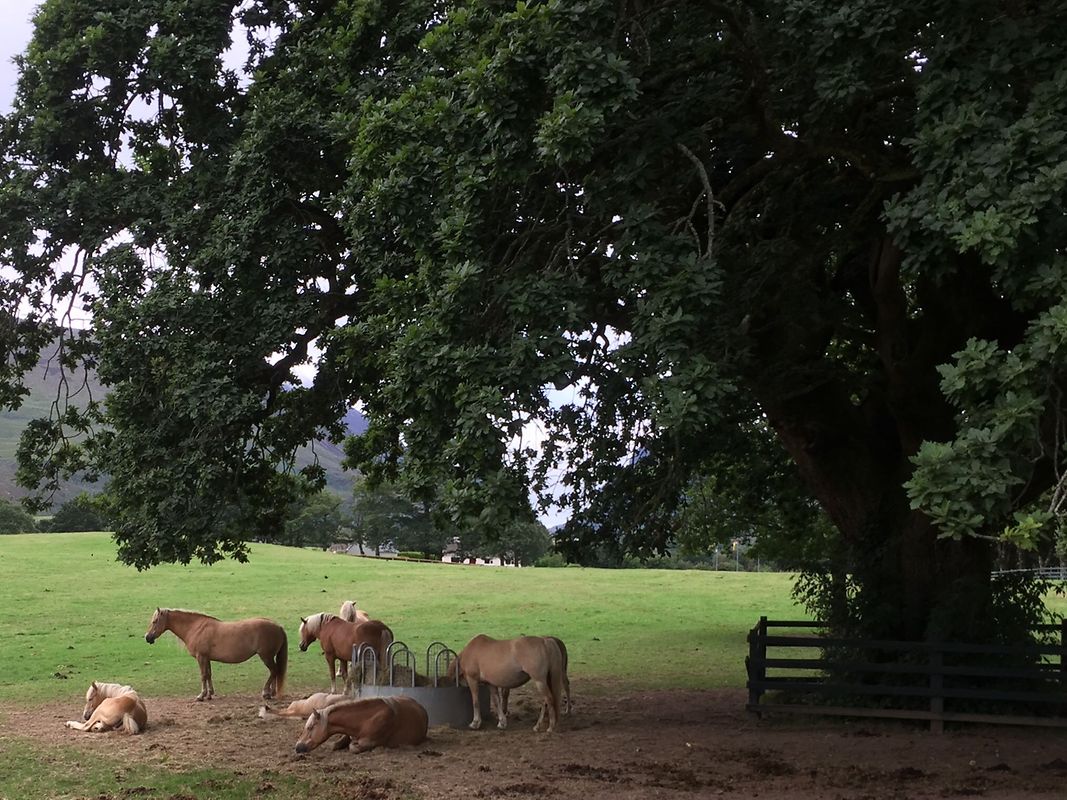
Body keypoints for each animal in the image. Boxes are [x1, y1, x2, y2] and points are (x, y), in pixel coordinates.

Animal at [145, 608, 288, 701]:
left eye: (155, 621)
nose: (147, 637)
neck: (196, 628)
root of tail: (278, 626)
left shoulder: (201, 657)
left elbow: (203, 675)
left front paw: (201, 695)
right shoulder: (206, 658)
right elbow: (208, 674)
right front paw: (209, 694)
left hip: (266, 657)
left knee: (274, 671)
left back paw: (266, 693)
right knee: (275, 672)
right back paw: (271, 693)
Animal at [294, 696, 428, 754]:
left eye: (310, 727)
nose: (297, 747)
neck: (364, 721)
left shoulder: (369, 741)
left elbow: (353, 747)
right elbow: (335, 744)